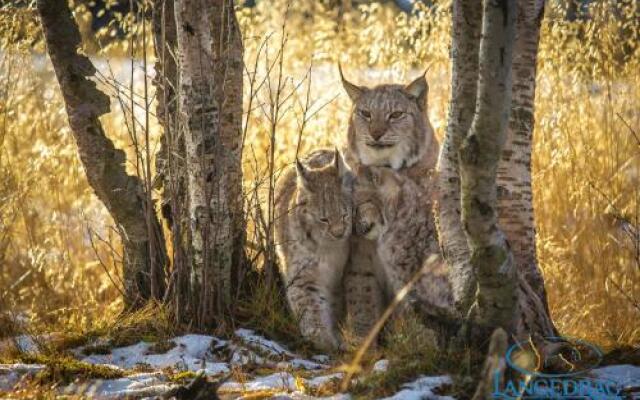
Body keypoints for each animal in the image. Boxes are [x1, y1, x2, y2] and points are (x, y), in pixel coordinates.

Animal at [276, 148, 356, 352]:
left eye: (345, 214)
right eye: (323, 219)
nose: (339, 233)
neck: (330, 247)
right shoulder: (304, 274)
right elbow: (310, 306)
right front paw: (323, 339)